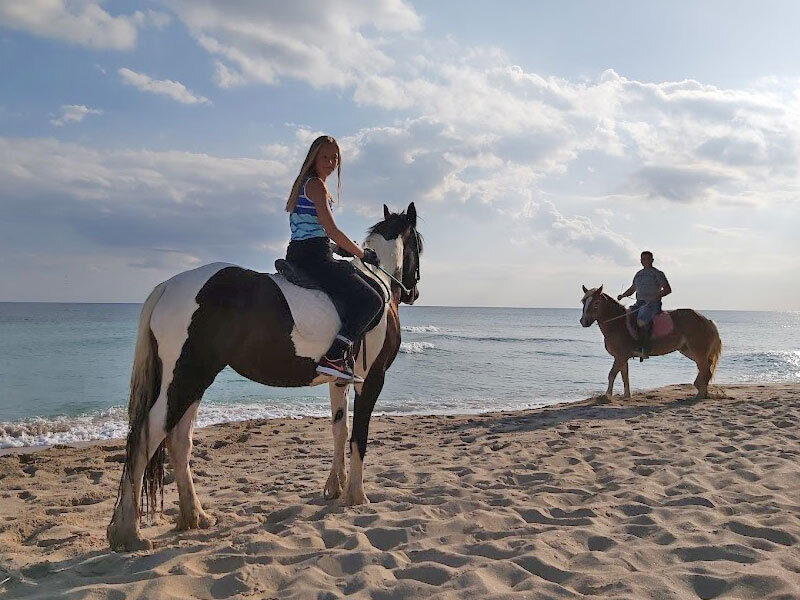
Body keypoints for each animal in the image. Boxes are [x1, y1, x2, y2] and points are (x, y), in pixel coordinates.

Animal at [107, 203, 422, 552]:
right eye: (418, 246)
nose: (413, 292)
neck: (378, 282)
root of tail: (167, 287)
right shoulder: (373, 379)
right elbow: (359, 436)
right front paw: (356, 495)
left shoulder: (339, 379)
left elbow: (340, 430)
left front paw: (335, 487)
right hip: (186, 377)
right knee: (147, 435)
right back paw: (129, 532)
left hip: (194, 380)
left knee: (178, 440)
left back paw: (195, 517)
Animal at [579, 285, 722, 401]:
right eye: (584, 302)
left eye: (596, 302)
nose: (583, 321)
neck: (617, 324)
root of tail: (707, 320)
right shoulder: (622, 357)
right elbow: (625, 376)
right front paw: (627, 396)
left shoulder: (620, 356)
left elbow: (612, 375)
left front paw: (607, 396)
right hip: (689, 351)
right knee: (705, 370)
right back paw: (702, 392)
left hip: (697, 351)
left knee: (705, 371)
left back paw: (700, 395)